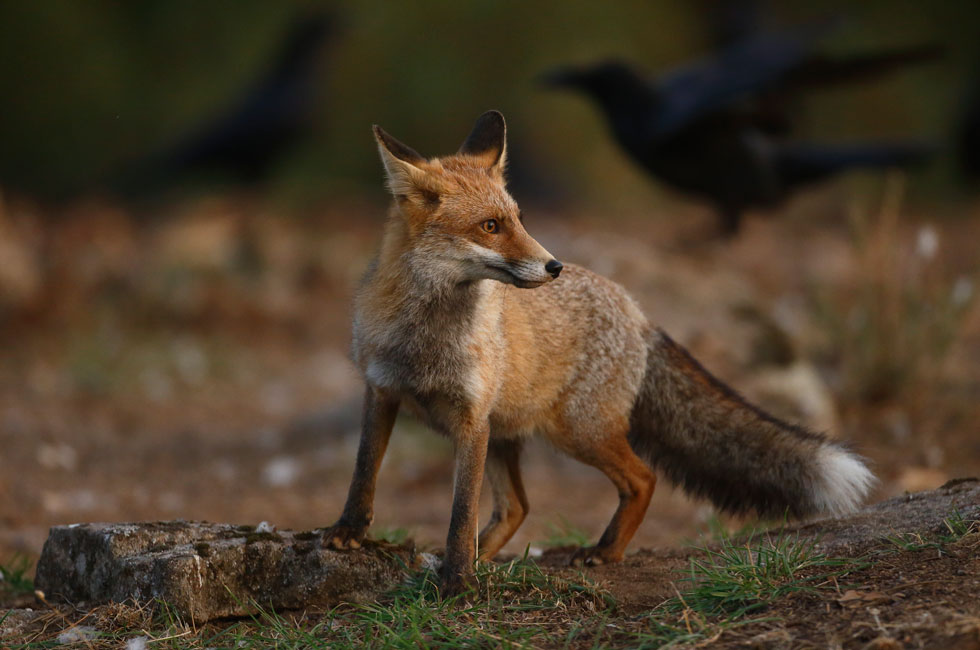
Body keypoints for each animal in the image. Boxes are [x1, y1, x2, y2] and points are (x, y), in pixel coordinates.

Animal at [322, 109, 872, 596]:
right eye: (490, 226)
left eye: (519, 219)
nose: (554, 266)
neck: (427, 340)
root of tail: (638, 311)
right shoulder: (383, 390)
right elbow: (364, 470)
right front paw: (348, 531)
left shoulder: (471, 418)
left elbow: (460, 513)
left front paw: (458, 581)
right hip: (513, 434)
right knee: (517, 507)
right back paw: (489, 557)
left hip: (576, 430)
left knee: (642, 478)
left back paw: (604, 551)